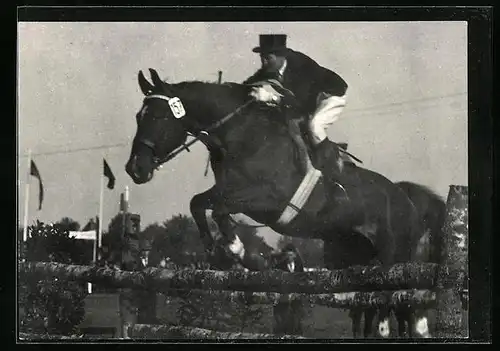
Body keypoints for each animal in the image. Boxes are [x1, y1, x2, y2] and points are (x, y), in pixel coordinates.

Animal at [124, 69, 422, 302]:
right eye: (138, 116)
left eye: (160, 117)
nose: (134, 168)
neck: (242, 134)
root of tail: (406, 200)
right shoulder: (228, 189)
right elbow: (198, 202)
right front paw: (215, 253)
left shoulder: (267, 200)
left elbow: (219, 210)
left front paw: (244, 254)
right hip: (346, 252)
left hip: (393, 256)